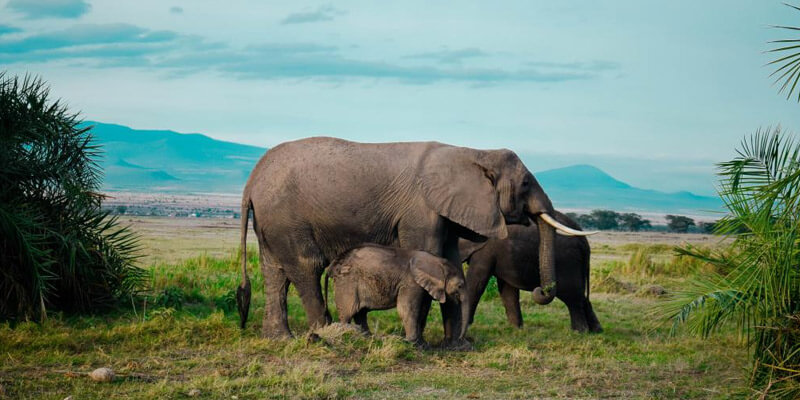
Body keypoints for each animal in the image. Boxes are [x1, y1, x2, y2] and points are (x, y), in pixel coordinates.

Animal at [328, 242, 472, 346]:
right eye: (459, 286)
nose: (460, 339)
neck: (437, 262)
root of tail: (335, 262)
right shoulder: (411, 282)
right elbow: (406, 309)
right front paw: (412, 343)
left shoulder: (422, 286)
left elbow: (422, 310)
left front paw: (422, 344)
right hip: (347, 282)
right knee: (348, 312)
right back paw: (347, 334)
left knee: (361, 313)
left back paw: (367, 337)